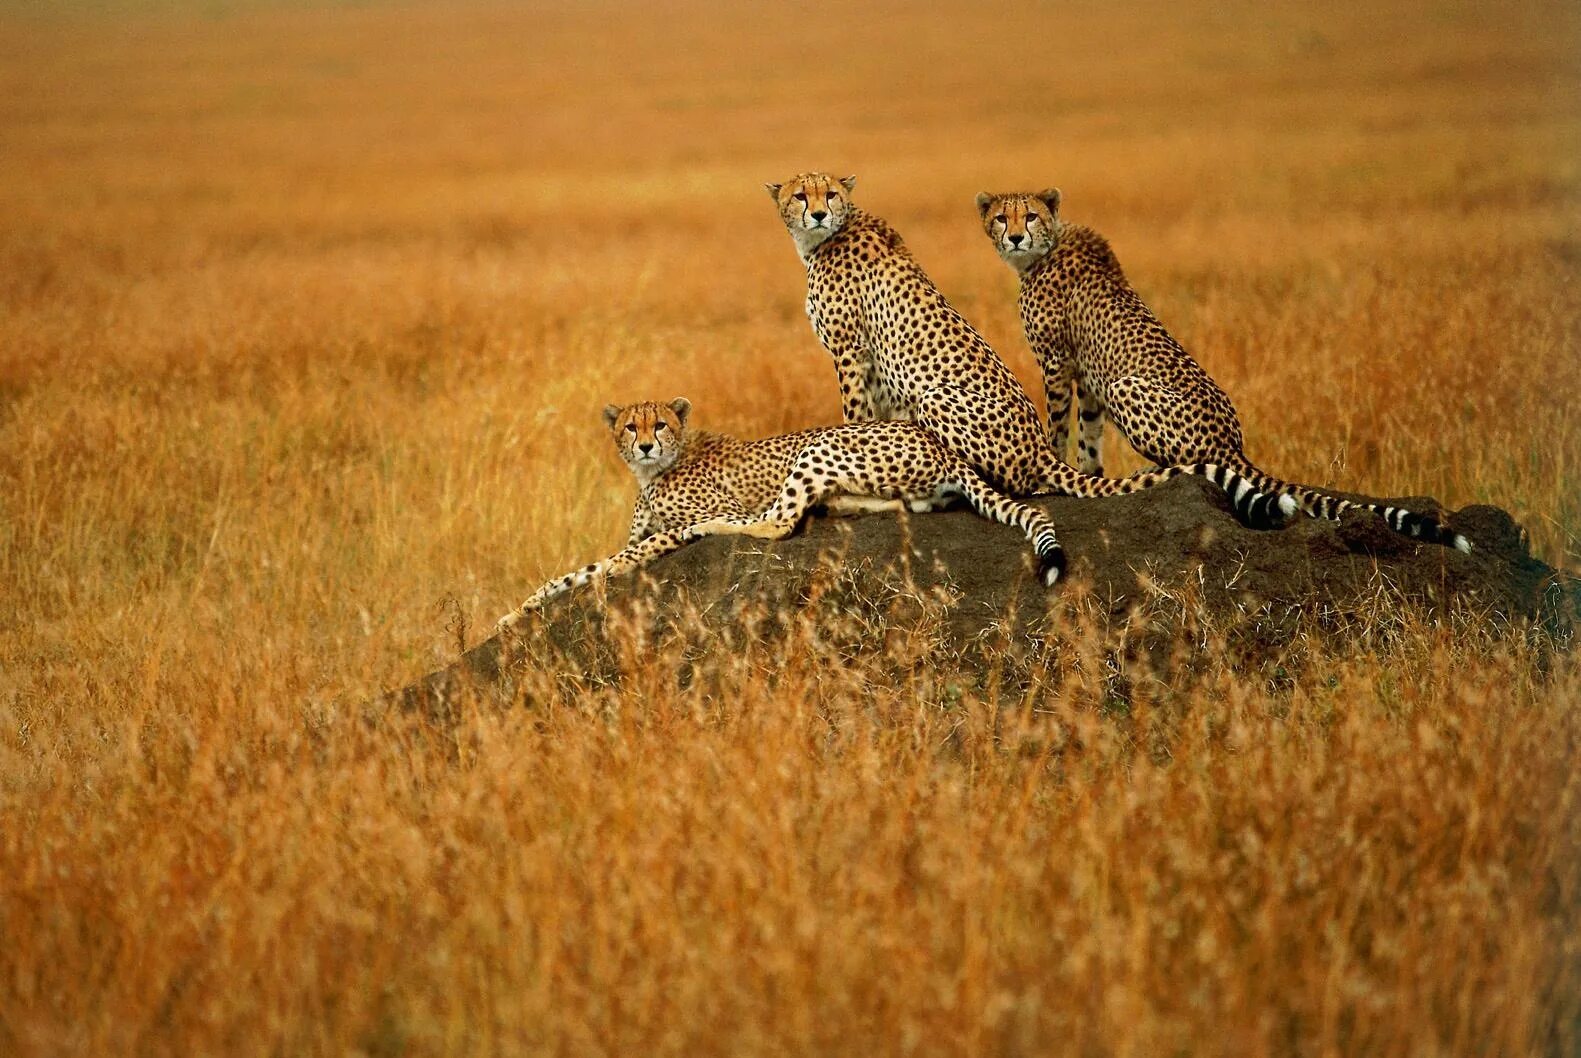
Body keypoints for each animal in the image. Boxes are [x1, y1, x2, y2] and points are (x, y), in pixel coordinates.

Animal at [499, 395, 1068, 626]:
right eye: (629, 427)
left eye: (659, 424)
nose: (643, 446)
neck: (655, 472)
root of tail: (941, 444)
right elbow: (572, 573)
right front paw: (515, 613)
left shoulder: (673, 528)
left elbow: (612, 562)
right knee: (900, 504)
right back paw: (842, 507)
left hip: (819, 446)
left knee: (778, 521)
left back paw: (720, 526)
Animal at [758, 175, 1290, 537]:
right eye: (801, 196)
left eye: (830, 194)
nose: (819, 214)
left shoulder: (850, 351)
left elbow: (854, 417)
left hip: (943, 397)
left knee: (1011, 480)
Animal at [973, 187, 1467, 553]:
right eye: (1001, 218)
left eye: (1030, 216)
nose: (1014, 237)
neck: (1047, 248)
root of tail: (1234, 443)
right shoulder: (1087, 375)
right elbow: (1089, 437)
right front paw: (1089, 474)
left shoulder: (1057, 363)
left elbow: (1057, 426)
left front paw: (1053, 474)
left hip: (1127, 386)